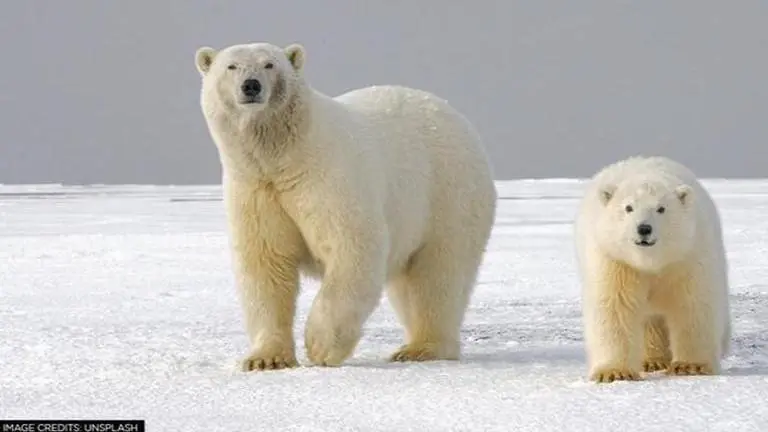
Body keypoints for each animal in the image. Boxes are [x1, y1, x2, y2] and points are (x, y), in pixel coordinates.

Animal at [194, 41, 497, 371]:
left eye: (269, 64)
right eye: (231, 66)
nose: (251, 85)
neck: (285, 156)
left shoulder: (328, 178)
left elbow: (352, 247)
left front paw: (320, 346)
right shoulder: (256, 189)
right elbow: (265, 265)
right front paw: (265, 359)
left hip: (447, 194)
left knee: (438, 274)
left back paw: (422, 348)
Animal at [574, 155, 731, 383]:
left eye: (661, 208)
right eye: (628, 207)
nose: (644, 228)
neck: (652, 262)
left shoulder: (688, 257)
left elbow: (693, 305)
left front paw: (691, 366)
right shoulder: (615, 262)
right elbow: (615, 307)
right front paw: (614, 372)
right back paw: (653, 360)